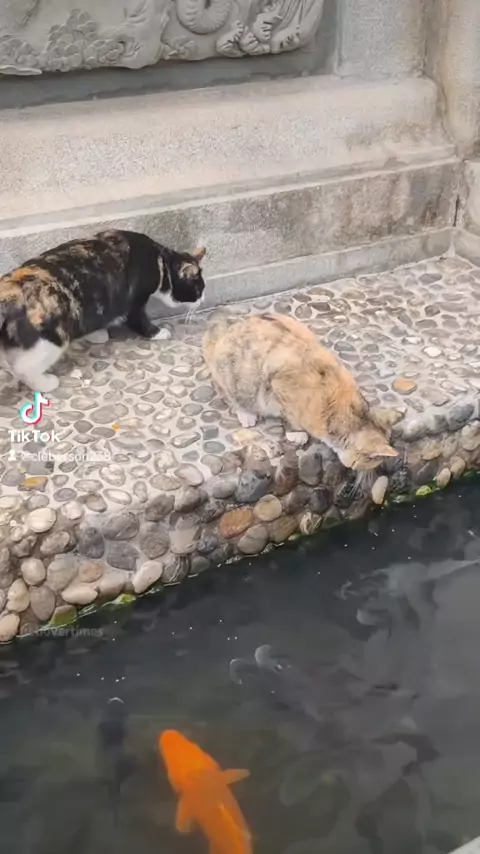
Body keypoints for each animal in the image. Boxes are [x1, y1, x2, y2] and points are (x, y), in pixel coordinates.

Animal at [0, 229, 206, 392]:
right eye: (199, 290)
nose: (202, 299)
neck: (160, 261)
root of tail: (8, 292)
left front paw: (96, 335)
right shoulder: (134, 301)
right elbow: (138, 319)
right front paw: (158, 333)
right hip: (49, 339)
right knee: (24, 368)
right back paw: (47, 384)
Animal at [203, 312, 399, 471]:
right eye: (373, 462)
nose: (374, 470)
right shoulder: (279, 385)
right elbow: (291, 417)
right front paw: (297, 434)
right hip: (234, 374)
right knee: (227, 392)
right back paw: (246, 414)